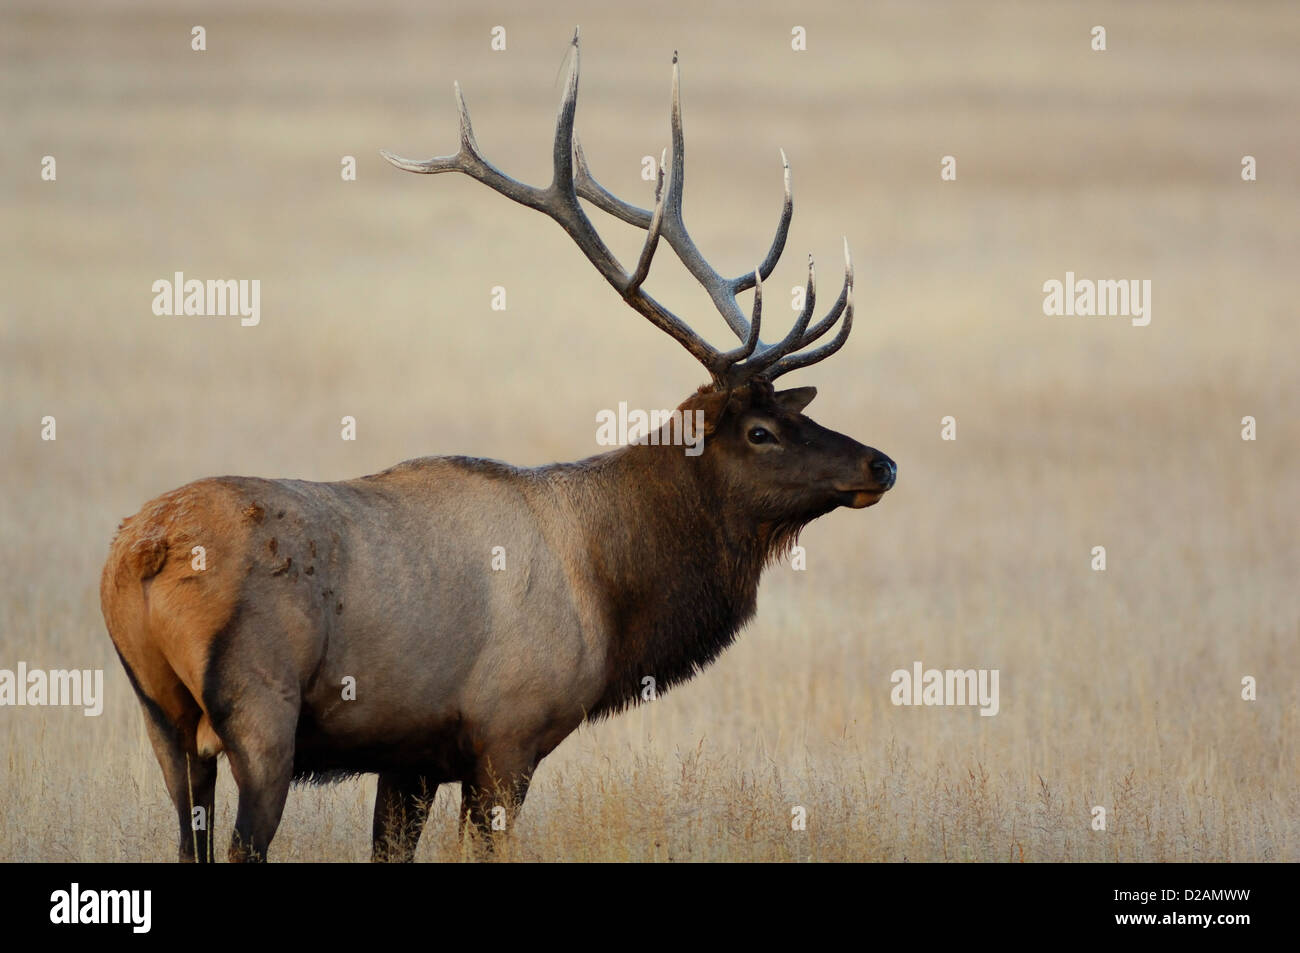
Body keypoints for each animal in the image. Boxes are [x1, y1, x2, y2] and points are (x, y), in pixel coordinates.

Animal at [98, 31, 894, 863]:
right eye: (761, 431)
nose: (882, 463)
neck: (612, 588)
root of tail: (141, 553)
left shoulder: (411, 755)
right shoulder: (508, 731)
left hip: (161, 717)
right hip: (261, 711)